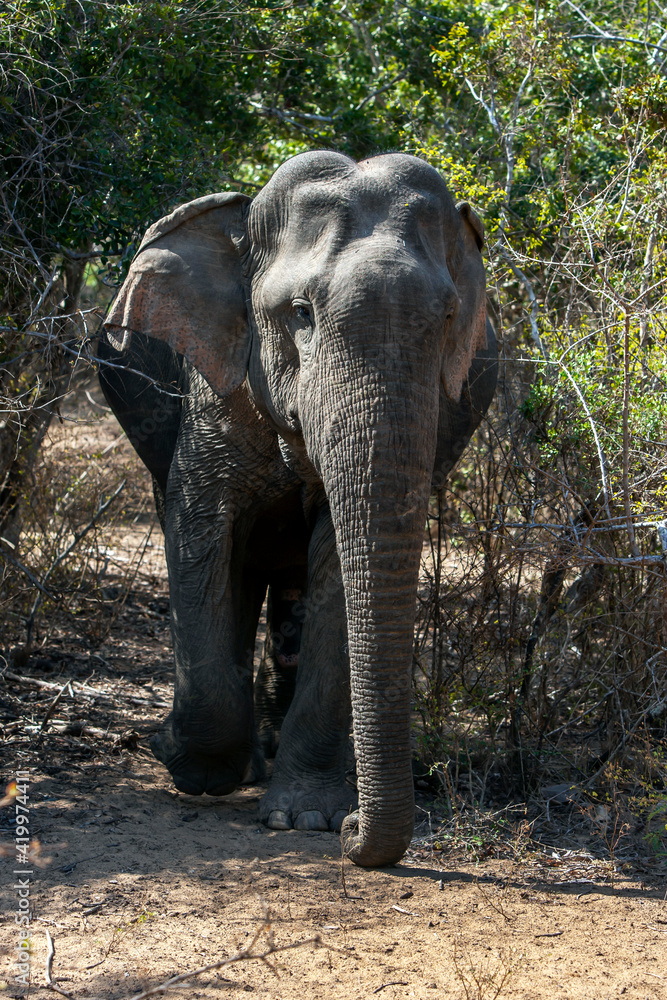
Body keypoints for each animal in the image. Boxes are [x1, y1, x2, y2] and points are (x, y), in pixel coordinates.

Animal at [98, 150, 498, 868]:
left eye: (450, 318)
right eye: (301, 313)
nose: (353, 833)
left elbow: (336, 561)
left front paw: (306, 817)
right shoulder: (217, 384)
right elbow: (199, 530)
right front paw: (189, 766)